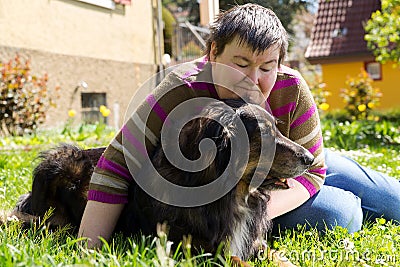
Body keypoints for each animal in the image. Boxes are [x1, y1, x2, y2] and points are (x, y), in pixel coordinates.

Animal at [5, 100, 312, 266]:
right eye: (267, 135)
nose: (310, 159)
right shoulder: (191, 247)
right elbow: (237, 260)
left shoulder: (253, 240)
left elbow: (279, 256)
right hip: (62, 161)